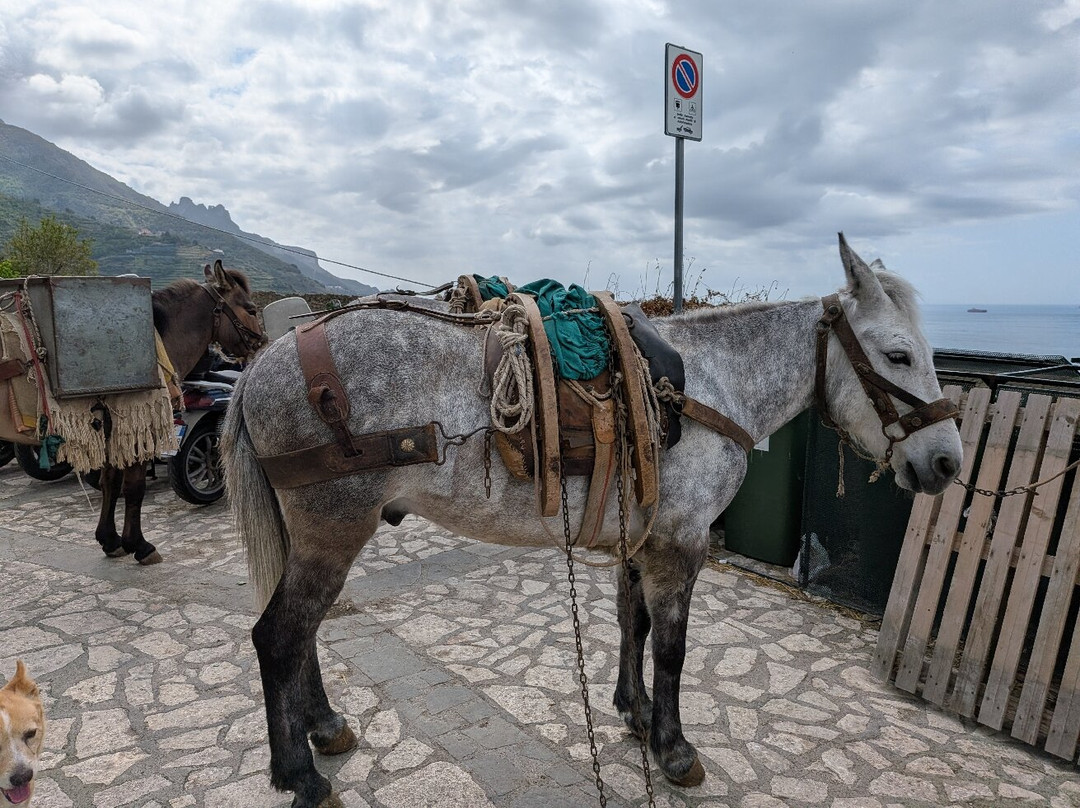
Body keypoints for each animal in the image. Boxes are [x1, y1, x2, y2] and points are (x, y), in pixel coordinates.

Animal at [94, 260, 266, 565]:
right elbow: (133, 486)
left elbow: (110, 481)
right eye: (251, 309)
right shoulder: (138, 424)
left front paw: (110, 540)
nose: (264, 342)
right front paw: (138, 545)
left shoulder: (112, 424)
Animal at [221, 235, 963, 807]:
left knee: (305, 634)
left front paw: (635, 712)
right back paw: (299, 774)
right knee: (279, 638)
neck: (706, 388)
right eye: (898, 354)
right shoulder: (681, 544)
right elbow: (672, 647)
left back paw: (324, 727)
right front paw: (673, 747)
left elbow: (632, 624)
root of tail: (263, 364)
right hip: (332, 532)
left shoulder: (642, 537)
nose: (947, 461)